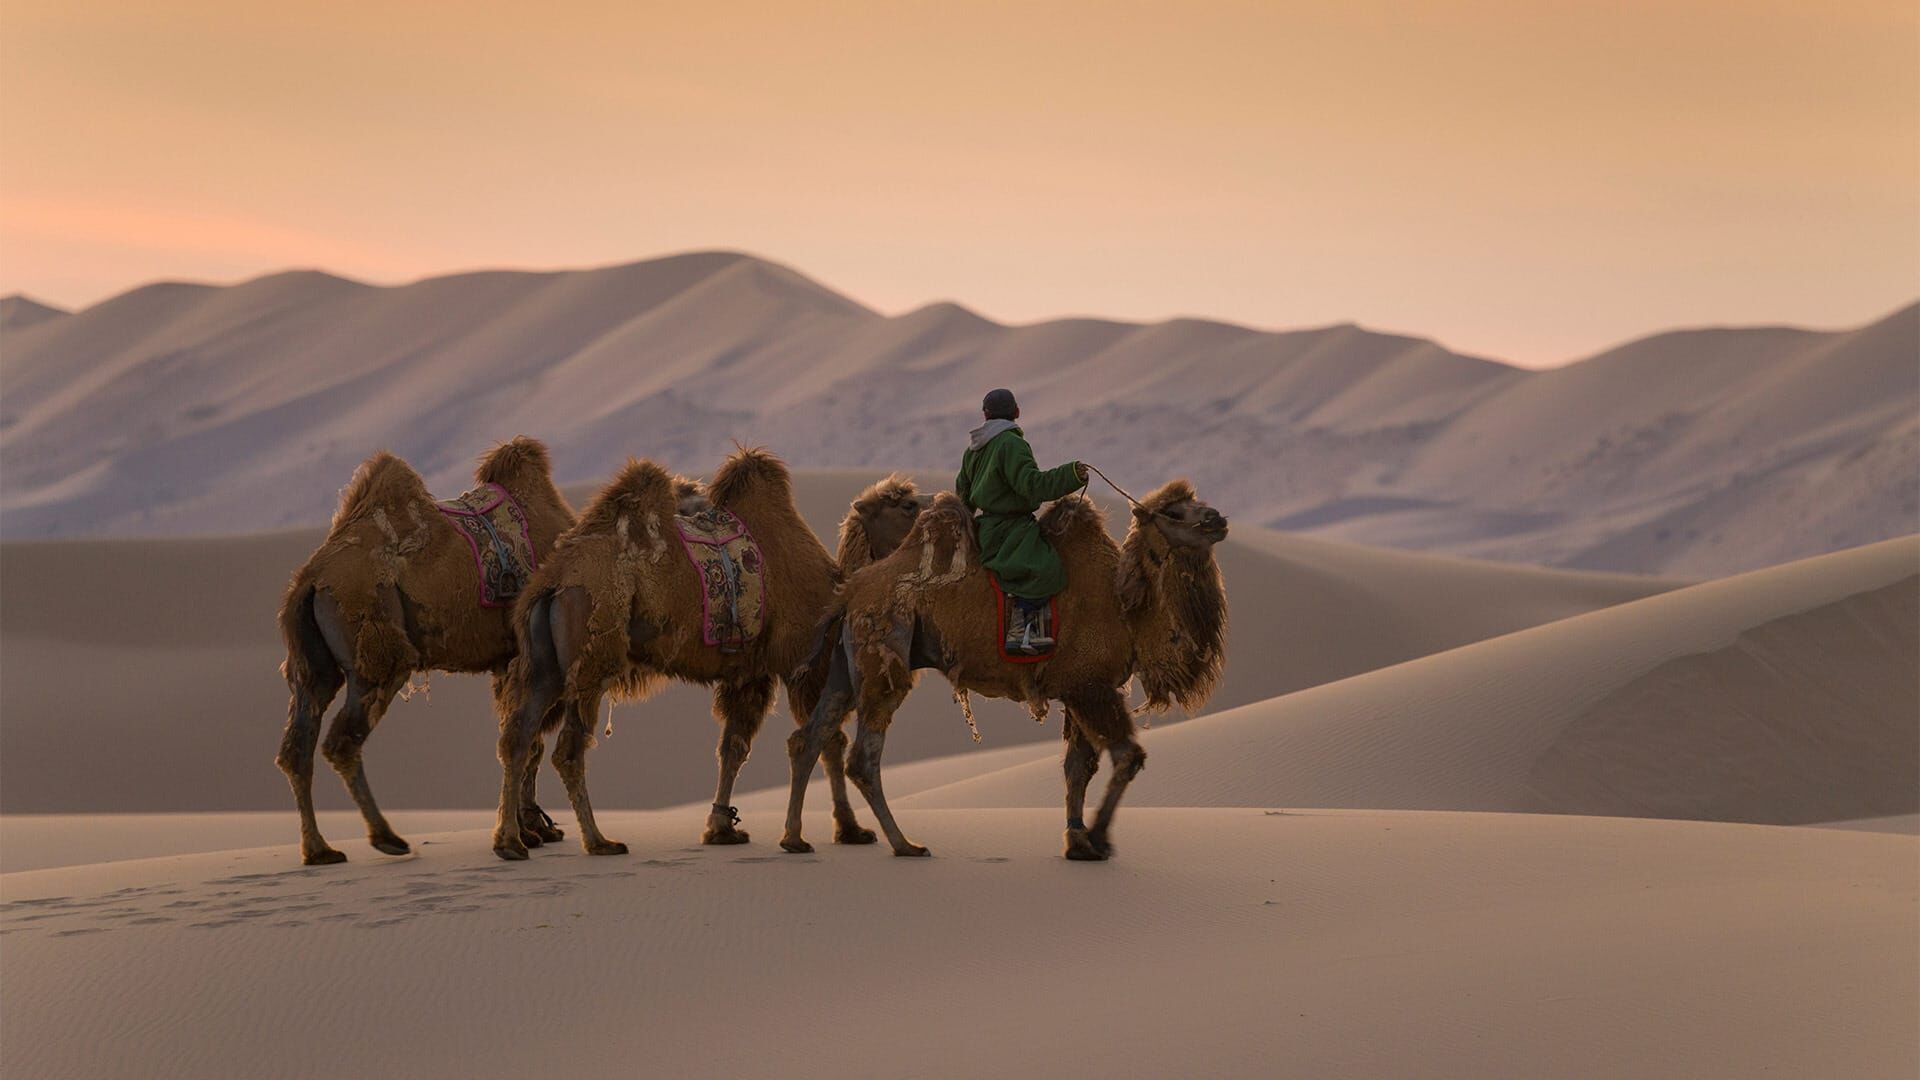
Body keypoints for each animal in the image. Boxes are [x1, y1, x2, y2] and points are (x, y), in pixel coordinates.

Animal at [274, 432, 576, 860]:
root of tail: (310, 579)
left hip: (310, 662)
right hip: (378, 652)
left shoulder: (506, 659)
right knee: (342, 740)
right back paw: (387, 838)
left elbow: (519, 733)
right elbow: (528, 739)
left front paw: (531, 828)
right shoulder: (525, 653)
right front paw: (531, 831)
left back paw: (320, 850)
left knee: (296, 747)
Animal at [487, 449, 921, 853]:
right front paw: (849, 830)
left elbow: (733, 748)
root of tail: (554, 581)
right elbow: (827, 741)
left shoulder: (749, 672)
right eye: (907, 506)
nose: (936, 505)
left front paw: (722, 829)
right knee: (568, 750)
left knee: (518, 736)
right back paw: (598, 841)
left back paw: (511, 842)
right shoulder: (800, 662)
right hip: (592, 657)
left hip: (544, 664)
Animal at [779, 478, 1228, 857]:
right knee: (863, 756)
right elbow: (1126, 757)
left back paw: (795, 839)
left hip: (845, 662)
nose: (1217, 519)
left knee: (810, 736)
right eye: (1174, 512)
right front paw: (1099, 838)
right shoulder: (1090, 686)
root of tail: (849, 590)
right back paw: (905, 844)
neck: (1125, 609)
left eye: (1196, 503)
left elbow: (1078, 768)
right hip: (883, 655)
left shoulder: (1080, 689)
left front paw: (1078, 843)